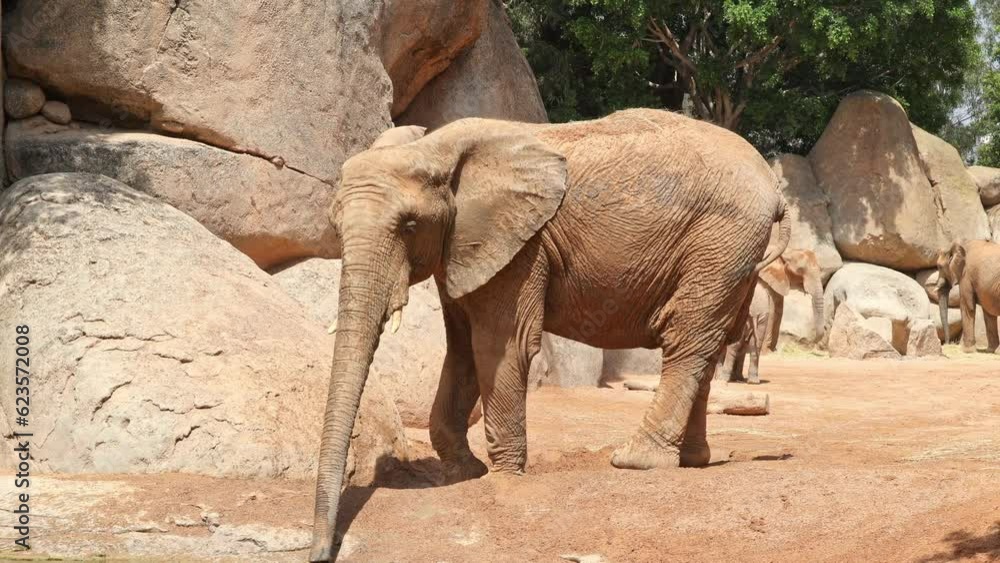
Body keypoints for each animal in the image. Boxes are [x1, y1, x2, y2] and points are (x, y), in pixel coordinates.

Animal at [309, 109, 790, 562]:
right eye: (335, 226)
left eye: (409, 226)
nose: (321, 553)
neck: (436, 149)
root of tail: (774, 187)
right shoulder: (465, 246)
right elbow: (461, 349)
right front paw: (466, 473)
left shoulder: (521, 246)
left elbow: (498, 346)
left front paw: (504, 477)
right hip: (734, 257)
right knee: (709, 344)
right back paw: (690, 460)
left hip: (721, 242)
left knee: (686, 340)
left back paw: (635, 461)